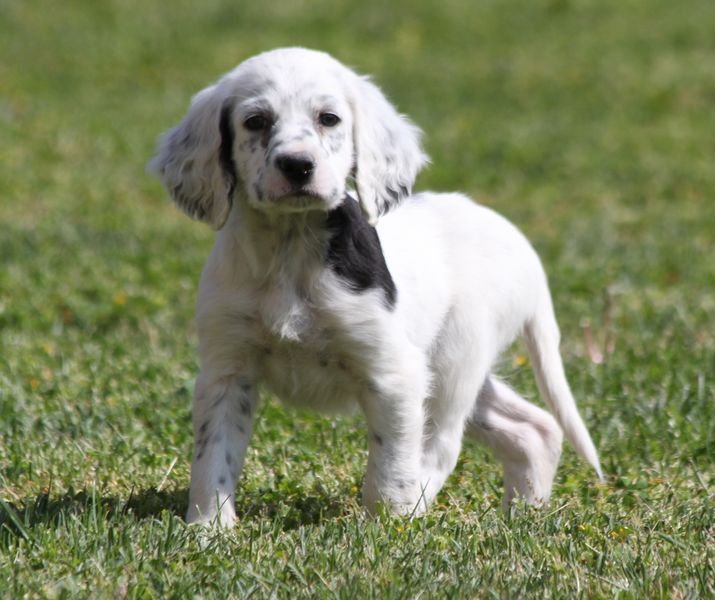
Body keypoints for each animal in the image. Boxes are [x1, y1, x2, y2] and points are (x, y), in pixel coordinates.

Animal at [149, 47, 603, 527]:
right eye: (255, 121)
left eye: (329, 118)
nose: (297, 165)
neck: (290, 251)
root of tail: (521, 247)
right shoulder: (226, 370)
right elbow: (213, 456)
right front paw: (208, 528)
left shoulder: (393, 372)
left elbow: (390, 466)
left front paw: (387, 528)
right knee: (534, 428)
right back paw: (524, 513)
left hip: (453, 359)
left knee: (442, 445)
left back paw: (428, 508)